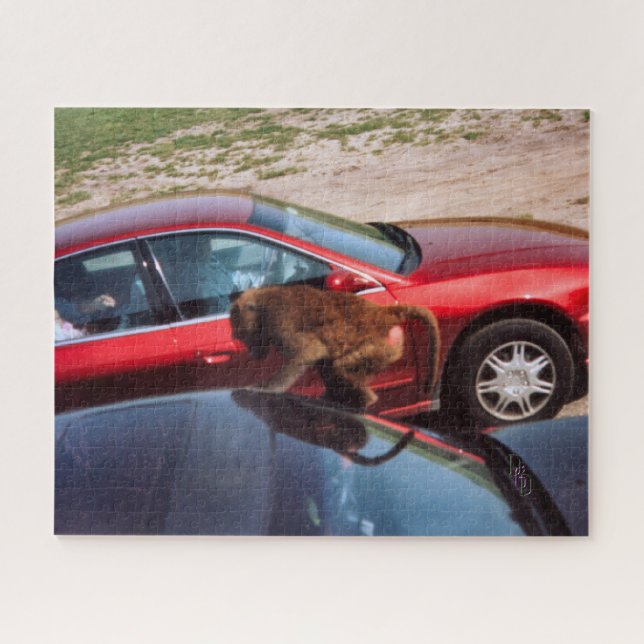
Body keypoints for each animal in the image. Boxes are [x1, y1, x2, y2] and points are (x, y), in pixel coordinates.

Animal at [229, 285, 440, 409]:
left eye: (242, 336)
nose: (252, 352)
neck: (263, 303)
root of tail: (382, 313)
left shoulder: (279, 318)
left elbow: (309, 352)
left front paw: (265, 389)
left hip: (381, 347)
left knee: (339, 367)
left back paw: (365, 401)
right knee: (329, 365)